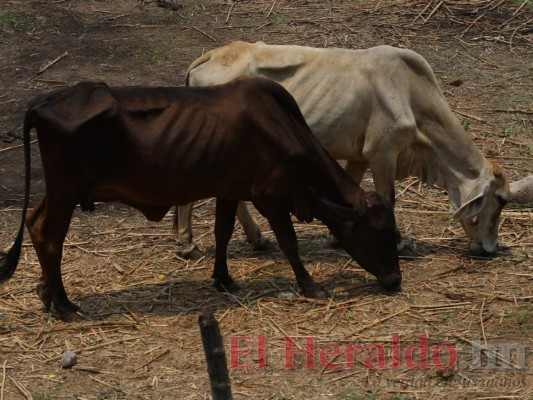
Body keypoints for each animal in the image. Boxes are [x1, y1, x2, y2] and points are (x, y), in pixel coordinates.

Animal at [0, 78, 400, 322]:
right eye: (381, 233)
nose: (395, 280)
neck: (283, 126)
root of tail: (46, 99)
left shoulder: (230, 189)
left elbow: (223, 232)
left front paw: (223, 279)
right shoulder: (270, 195)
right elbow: (289, 242)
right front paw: (311, 285)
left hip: (59, 193)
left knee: (35, 224)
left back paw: (46, 293)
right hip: (66, 191)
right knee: (50, 238)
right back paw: (66, 305)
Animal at [178, 42, 508, 258]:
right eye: (500, 201)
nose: (489, 248)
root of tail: (211, 55)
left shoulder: (359, 156)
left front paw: (337, 239)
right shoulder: (382, 153)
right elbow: (387, 198)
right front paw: (397, 243)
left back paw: (257, 239)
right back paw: (188, 245)